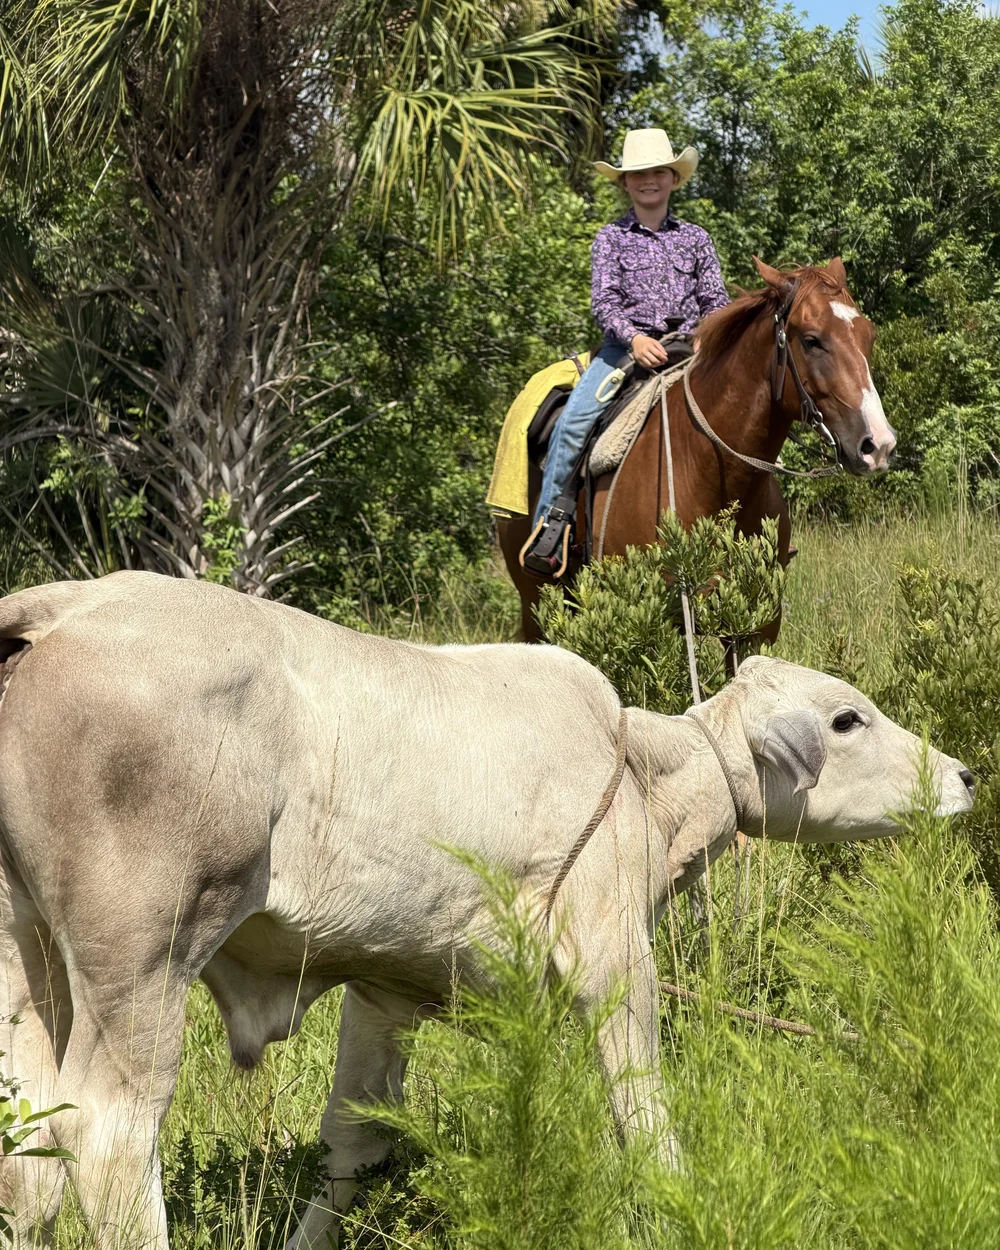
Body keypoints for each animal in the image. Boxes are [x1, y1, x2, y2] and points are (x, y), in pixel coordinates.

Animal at [0, 571, 974, 1248]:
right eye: (847, 720)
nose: (964, 775)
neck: (646, 770)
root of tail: (68, 605)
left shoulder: (384, 994)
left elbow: (351, 1147)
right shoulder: (612, 952)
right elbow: (643, 1115)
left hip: (28, 957)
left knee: (28, 1145)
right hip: (144, 962)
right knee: (105, 1138)